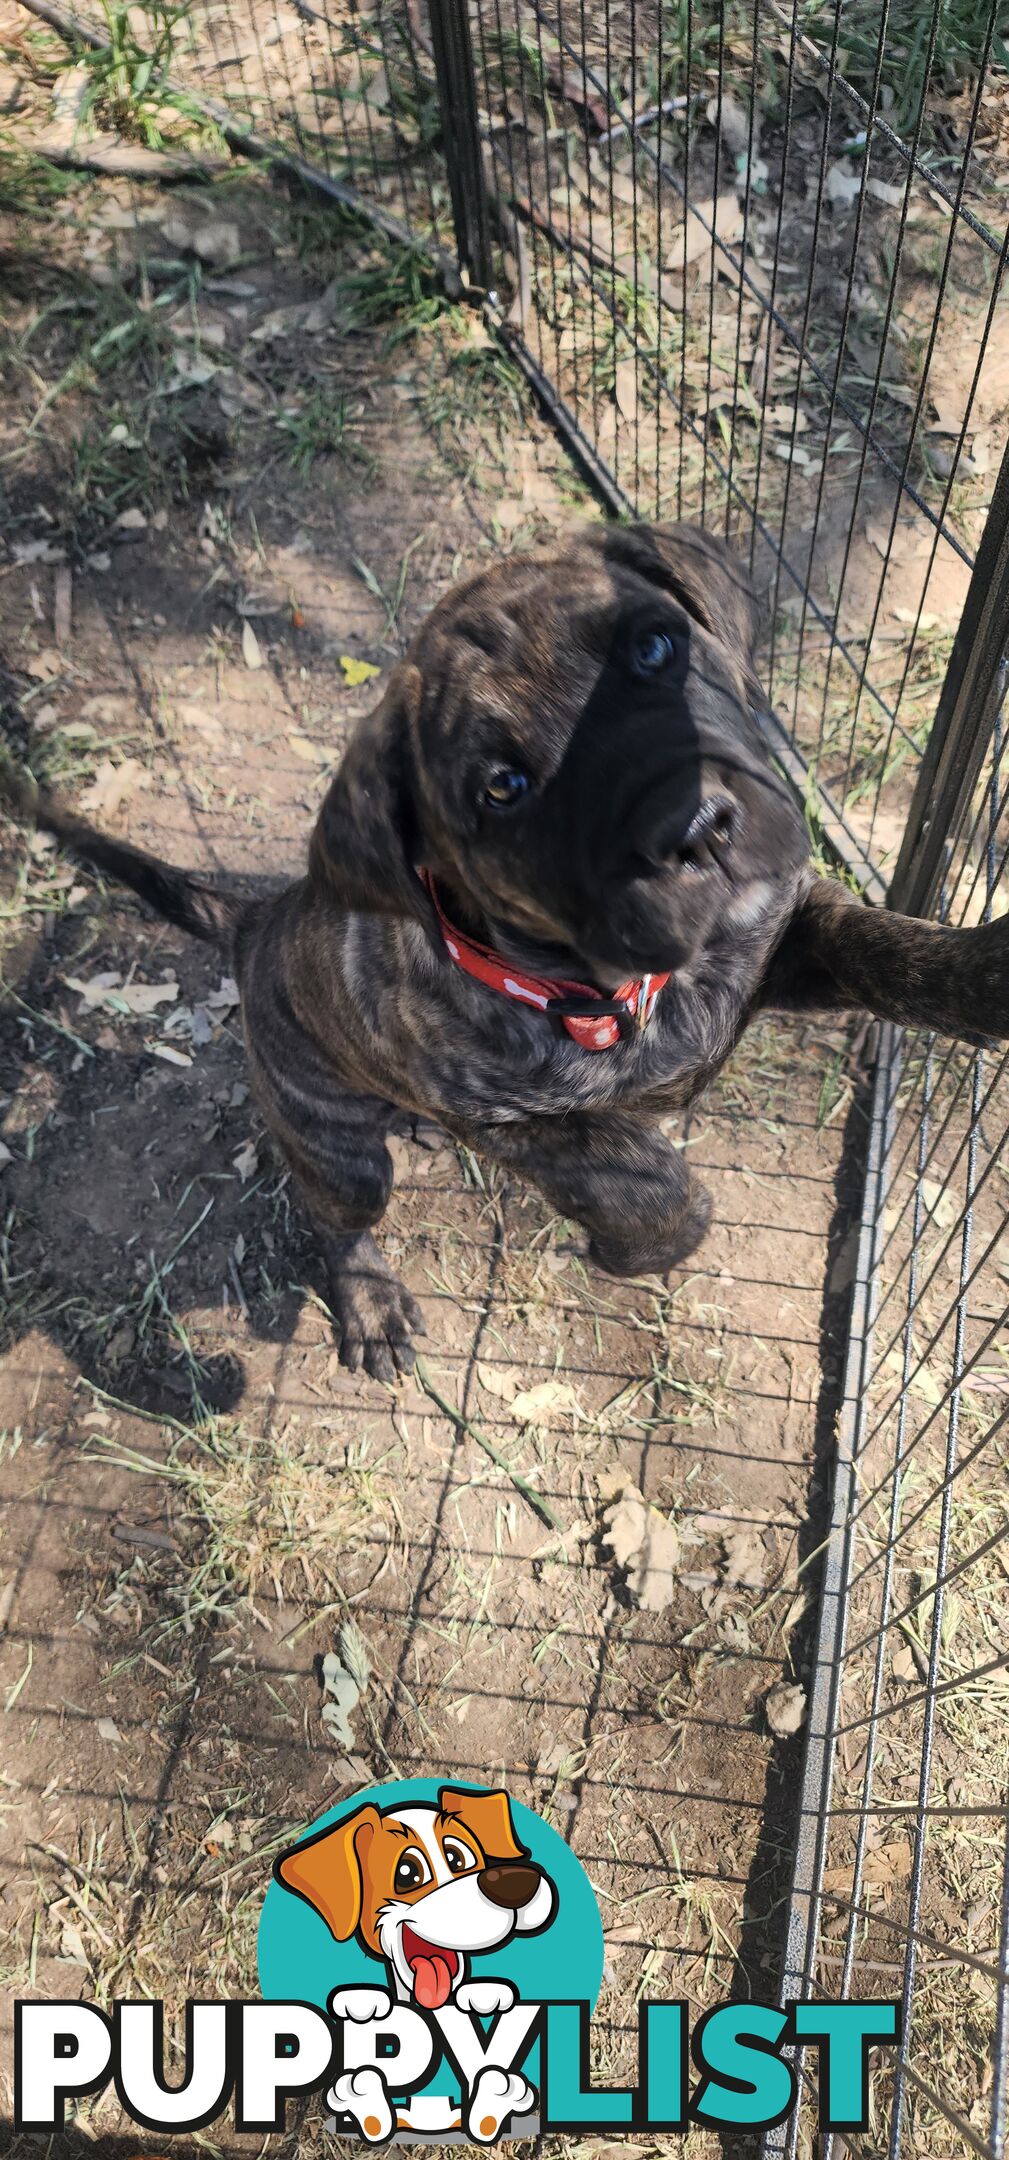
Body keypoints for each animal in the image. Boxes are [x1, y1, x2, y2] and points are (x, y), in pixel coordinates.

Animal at [13, 522, 1009, 1373]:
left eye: (655, 647)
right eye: (502, 787)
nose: (693, 825)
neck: (632, 988)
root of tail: (259, 922)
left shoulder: (781, 932)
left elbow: (884, 948)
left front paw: (982, 972)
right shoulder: (509, 1124)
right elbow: (633, 1172)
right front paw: (648, 1239)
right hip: (336, 1147)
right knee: (337, 1218)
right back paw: (368, 1302)